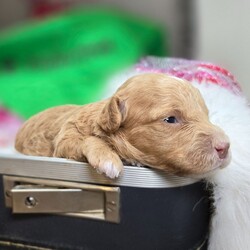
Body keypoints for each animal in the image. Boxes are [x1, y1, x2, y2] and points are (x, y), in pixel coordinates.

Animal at [15, 72, 230, 178]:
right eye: (171, 119)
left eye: (206, 115)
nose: (225, 147)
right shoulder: (65, 137)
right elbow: (88, 139)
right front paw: (108, 160)